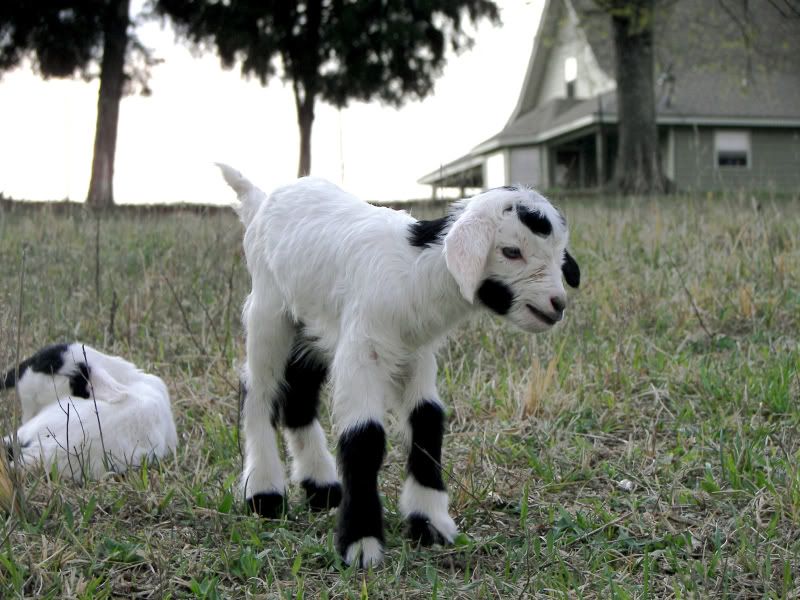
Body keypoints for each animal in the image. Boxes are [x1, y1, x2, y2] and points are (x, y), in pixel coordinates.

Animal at [219, 165, 580, 567]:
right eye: (511, 251)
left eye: (559, 253)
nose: (557, 304)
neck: (414, 273)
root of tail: (263, 199)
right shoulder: (363, 350)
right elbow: (364, 436)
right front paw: (361, 543)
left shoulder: (415, 356)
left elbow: (428, 420)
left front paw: (430, 521)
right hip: (269, 309)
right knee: (259, 389)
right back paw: (264, 493)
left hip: (313, 325)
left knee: (298, 392)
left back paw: (322, 488)